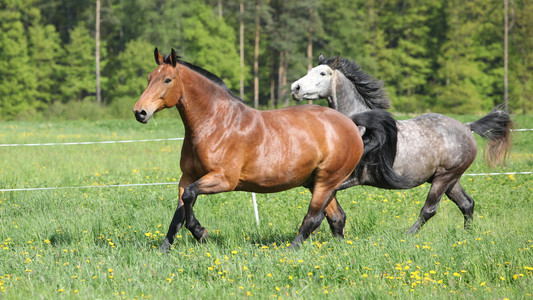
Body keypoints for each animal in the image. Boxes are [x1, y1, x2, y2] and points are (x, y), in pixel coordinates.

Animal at [131, 48, 364, 251]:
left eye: (167, 79)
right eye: (149, 78)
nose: (139, 112)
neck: (216, 124)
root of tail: (350, 125)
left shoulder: (224, 179)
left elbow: (188, 197)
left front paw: (201, 233)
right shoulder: (187, 177)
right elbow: (178, 215)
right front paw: (164, 251)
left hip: (326, 180)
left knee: (314, 217)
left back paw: (289, 251)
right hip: (316, 182)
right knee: (337, 217)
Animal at [290, 55, 512, 234]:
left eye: (322, 73)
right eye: (308, 71)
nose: (295, 88)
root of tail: (467, 127)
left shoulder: (347, 178)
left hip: (444, 178)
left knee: (429, 209)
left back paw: (408, 235)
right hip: (449, 179)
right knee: (467, 203)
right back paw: (468, 234)